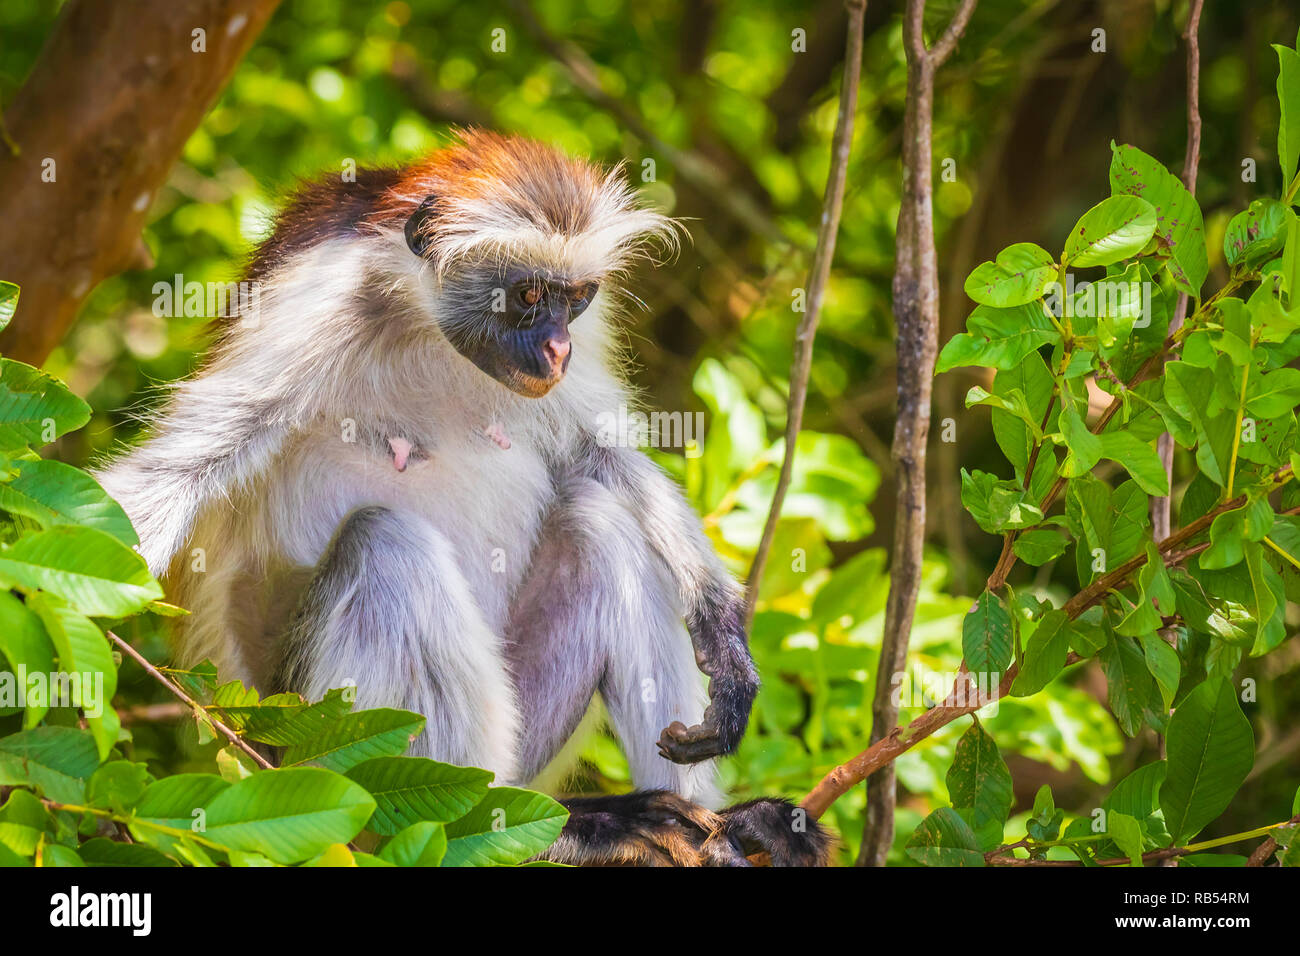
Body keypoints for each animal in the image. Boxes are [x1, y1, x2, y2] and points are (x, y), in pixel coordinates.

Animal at [104, 128, 832, 868]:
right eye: (528, 294)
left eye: (576, 298)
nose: (558, 349)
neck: (425, 330)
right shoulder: (313, 304)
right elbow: (182, 469)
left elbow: (598, 454)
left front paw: (722, 631)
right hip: (317, 746)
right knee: (384, 542)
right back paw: (533, 826)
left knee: (597, 520)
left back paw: (718, 828)